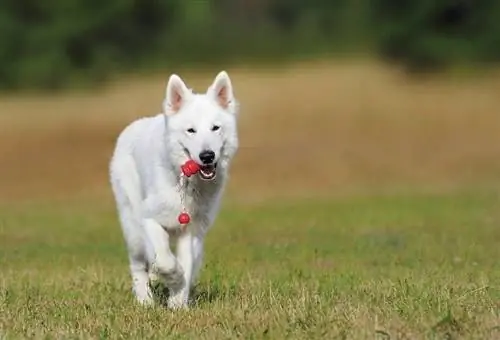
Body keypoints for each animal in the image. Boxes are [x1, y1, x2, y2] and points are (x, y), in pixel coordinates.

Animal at [109, 71, 240, 308]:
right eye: (191, 131)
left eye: (215, 128)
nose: (207, 156)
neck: (186, 182)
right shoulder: (149, 220)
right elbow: (166, 261)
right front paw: (172, 279)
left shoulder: (190, 231)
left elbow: (185, 264)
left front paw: (178, 303)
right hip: (132, 227)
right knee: (138, 265)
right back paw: (145, 300)